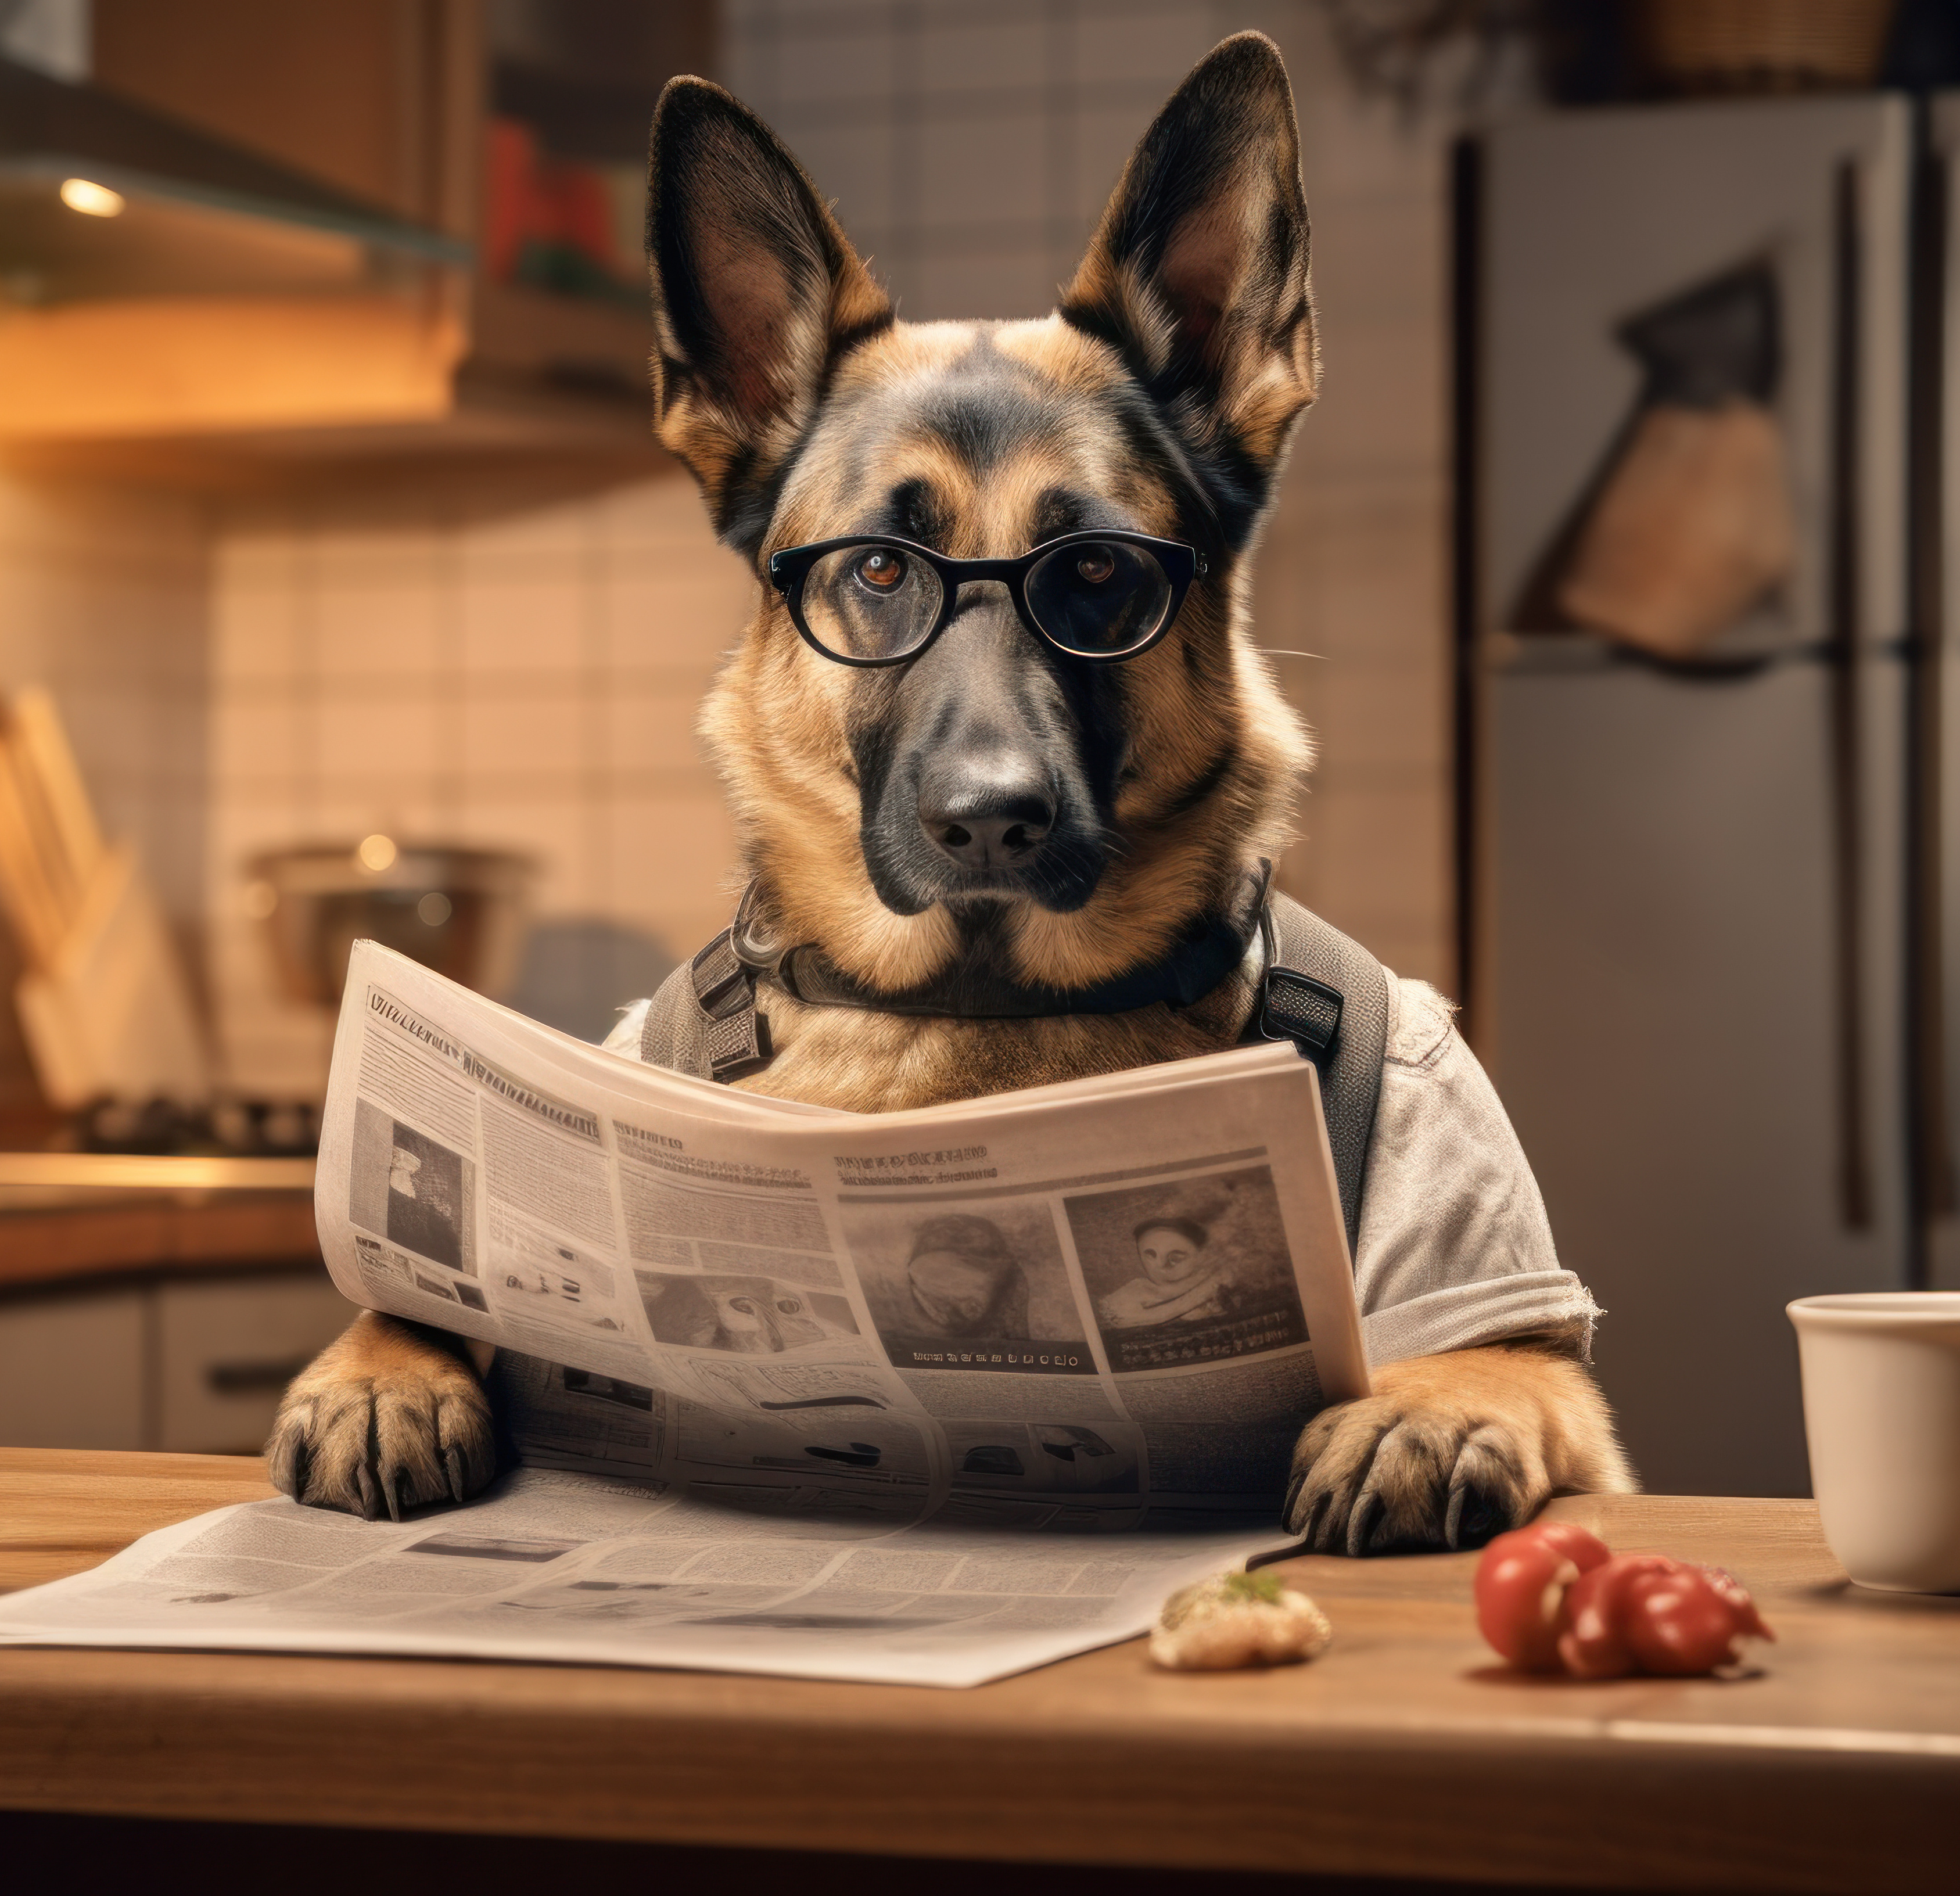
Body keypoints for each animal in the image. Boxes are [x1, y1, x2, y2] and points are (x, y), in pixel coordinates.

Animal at [272, 33, 1622, 1560]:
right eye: (877, 569)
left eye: (1098, 569)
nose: (991, 820)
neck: (974, 1009)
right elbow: (413, 1293)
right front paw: (384, 1366)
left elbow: (1494, 1356)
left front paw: (1425, 1409)